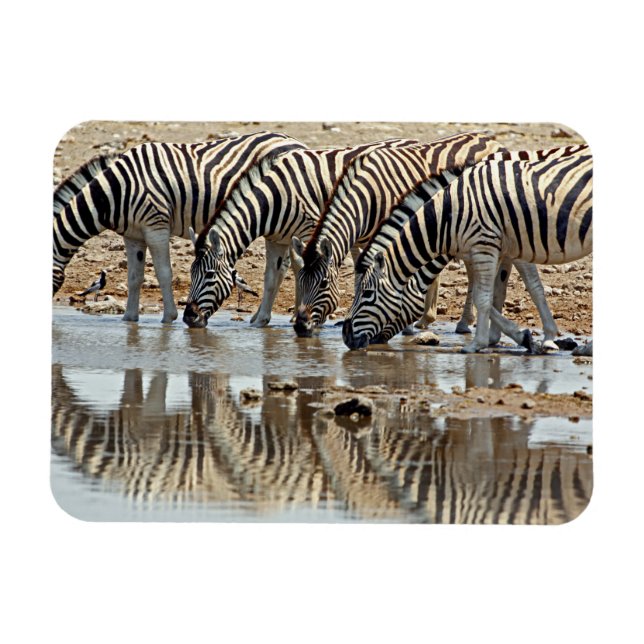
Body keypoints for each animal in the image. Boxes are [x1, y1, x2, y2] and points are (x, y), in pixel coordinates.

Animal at [53, 131, 306, 323]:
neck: (116, 191)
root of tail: (297, 142)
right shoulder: (133, 235)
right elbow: (134, 277)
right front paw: (129, 319)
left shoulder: (156, 225)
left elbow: (164, 273)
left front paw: (168, 318)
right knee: (285, 268)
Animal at [182, 138, 427, 329]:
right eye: (191, 274)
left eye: (209, 275)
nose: (188, 318)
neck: (273, 198)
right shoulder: (276, 240)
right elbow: (271, 278)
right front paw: (261, 320)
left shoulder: (311, 231)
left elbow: (303, 270)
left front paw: (304, 316)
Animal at [289, 132, 505, 337]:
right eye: (300, 281)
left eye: (323, 284)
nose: (300, 326)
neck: (369, 195)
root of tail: (490, 139)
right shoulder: (361, 241)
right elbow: (363, 274)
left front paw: (403, 325)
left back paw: (462, 322)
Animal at [342, 150, 592, 353]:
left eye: (367, 294)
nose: (345, 337)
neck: (449, 216)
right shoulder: (504, 248)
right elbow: (502, 293)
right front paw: (520, 336)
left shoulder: (489, 245)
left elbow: (491, 295)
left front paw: (478, 344)